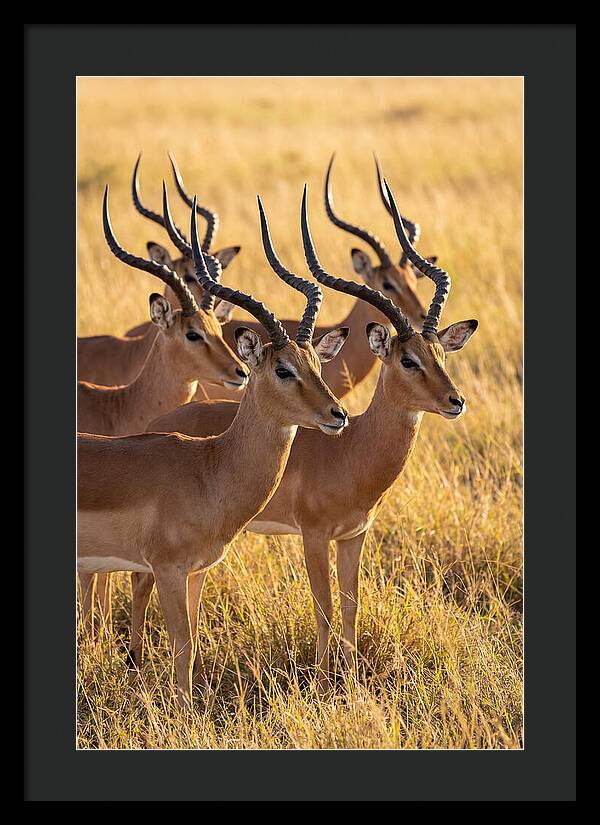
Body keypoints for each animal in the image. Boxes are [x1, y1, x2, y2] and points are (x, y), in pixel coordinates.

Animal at [77, 191, 349, 704]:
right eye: (282, 368)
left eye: (316, 364)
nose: (337, 415)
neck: (209, 469)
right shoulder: (166, 569)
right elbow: (182, 647)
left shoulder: (198, 570)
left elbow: (195, 638)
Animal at [130, 180, 478, 690]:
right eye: (407, 359)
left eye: (441, 355)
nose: (455, 401)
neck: (353, 451)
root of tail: (158, 424)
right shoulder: (313, 535)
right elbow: (325, 607)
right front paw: (322, 679)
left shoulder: (354, 535)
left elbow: (351, 606)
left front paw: (350, 679)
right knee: (140, 581)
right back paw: (134, 661)